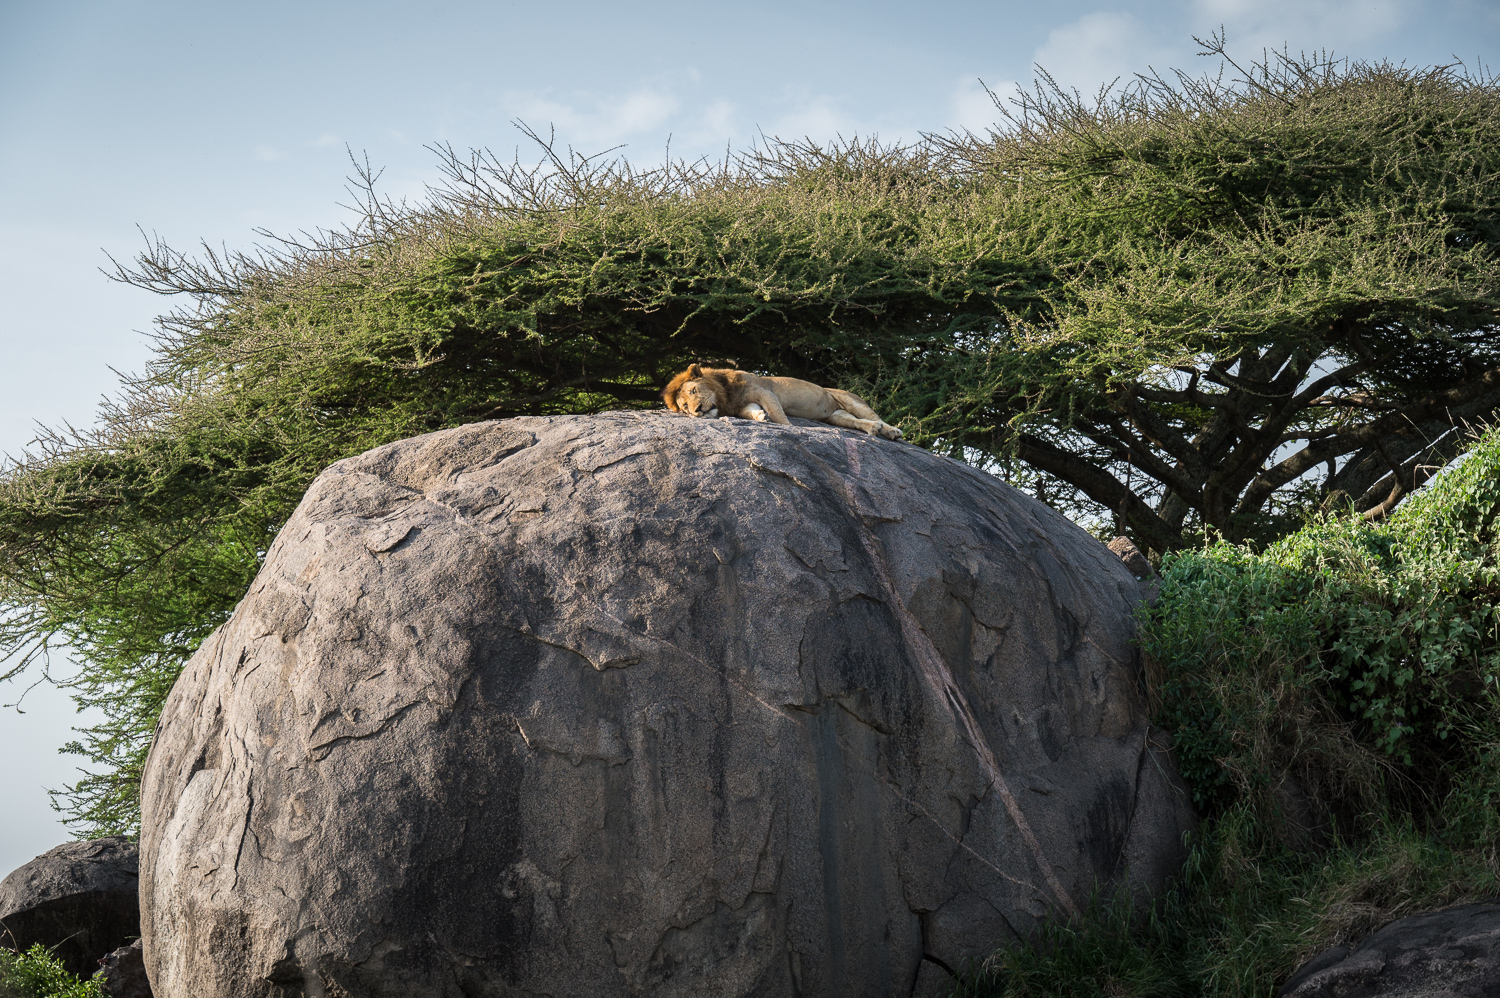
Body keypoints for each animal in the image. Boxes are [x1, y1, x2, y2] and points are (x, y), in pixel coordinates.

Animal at [660, 364, 900, 438]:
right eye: (684, 407)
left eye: (694, 390)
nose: (698, 410)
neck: (725, 394)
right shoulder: (741, 405)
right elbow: (751, 412)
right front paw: (760, 416)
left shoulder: (765, 391)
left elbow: (778, 414)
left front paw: (789, 427)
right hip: (837, 416)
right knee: (859, 422)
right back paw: (873, 430)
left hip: (850, 399)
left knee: (876, 417)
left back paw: (891, 431)